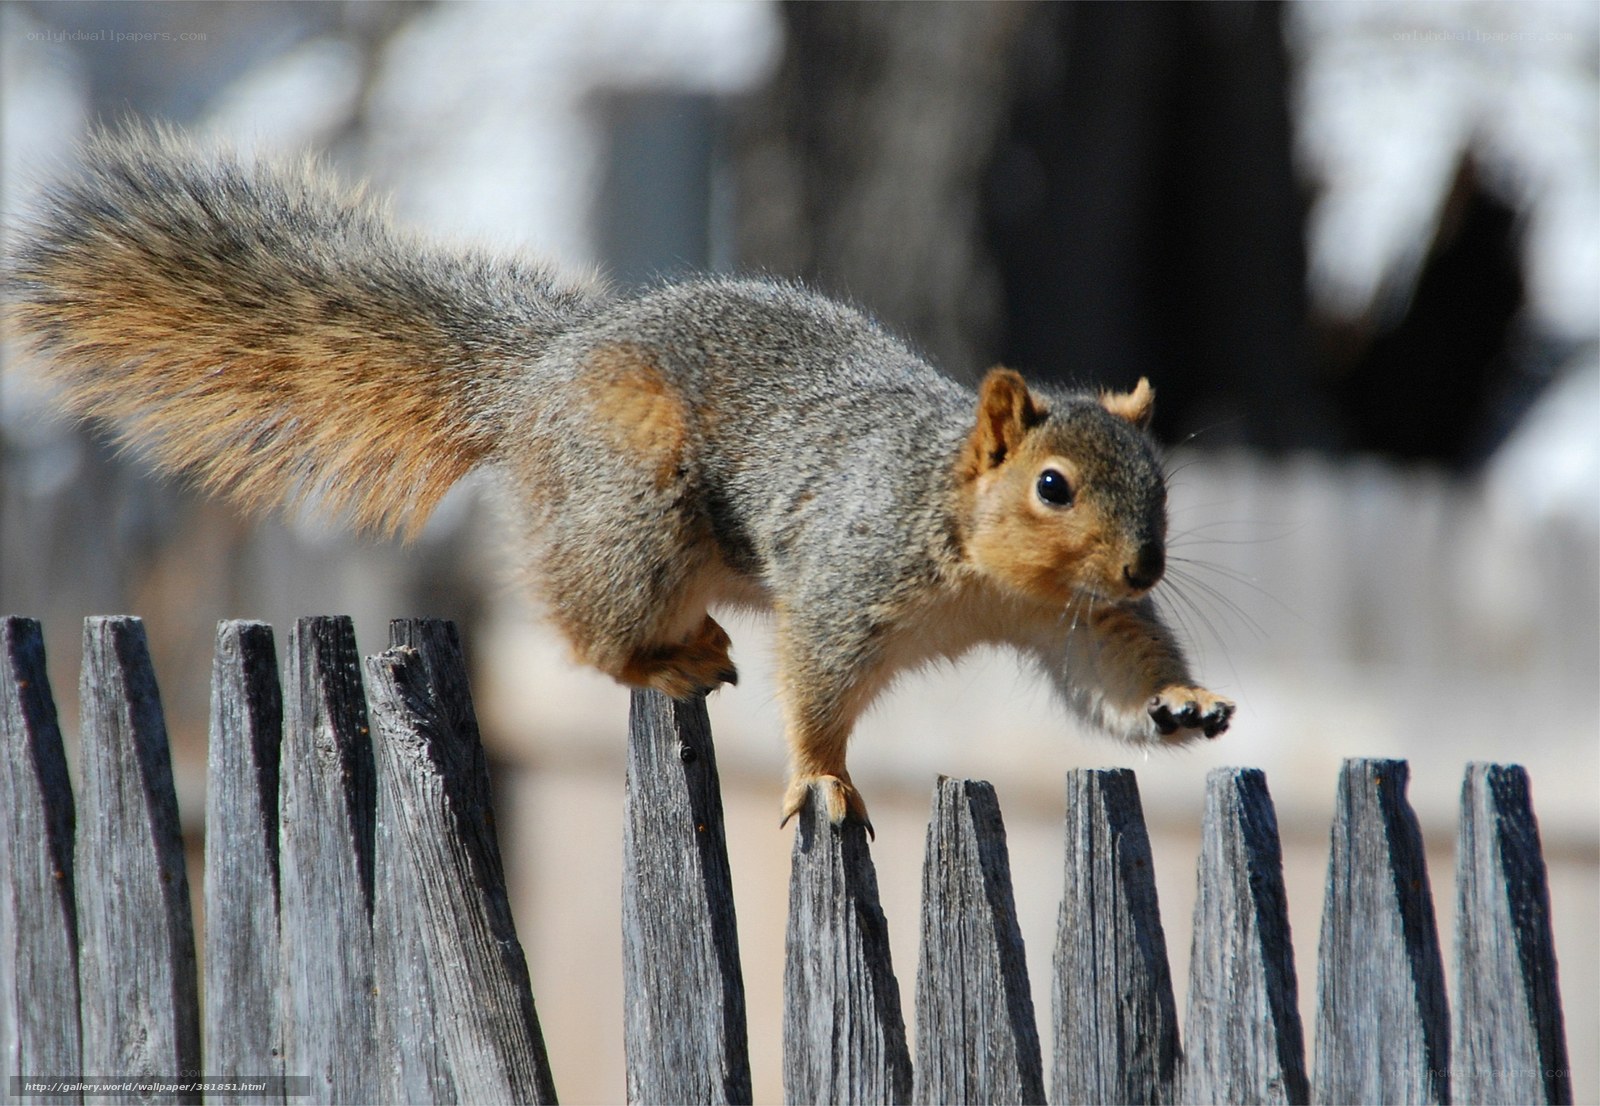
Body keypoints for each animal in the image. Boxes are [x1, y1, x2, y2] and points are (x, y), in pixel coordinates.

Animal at [3, 128, 1233, 828]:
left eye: (1160, 481)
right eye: (1053, 486)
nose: (1145, 563)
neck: (981, 566)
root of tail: (537, 375)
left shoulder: (1074, 620)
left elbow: (1110, 672)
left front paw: (1181, 701)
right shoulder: (847, 577)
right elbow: (818, 688)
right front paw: (821, 780)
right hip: (632, 510)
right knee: (586, 627)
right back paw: (663, 656)